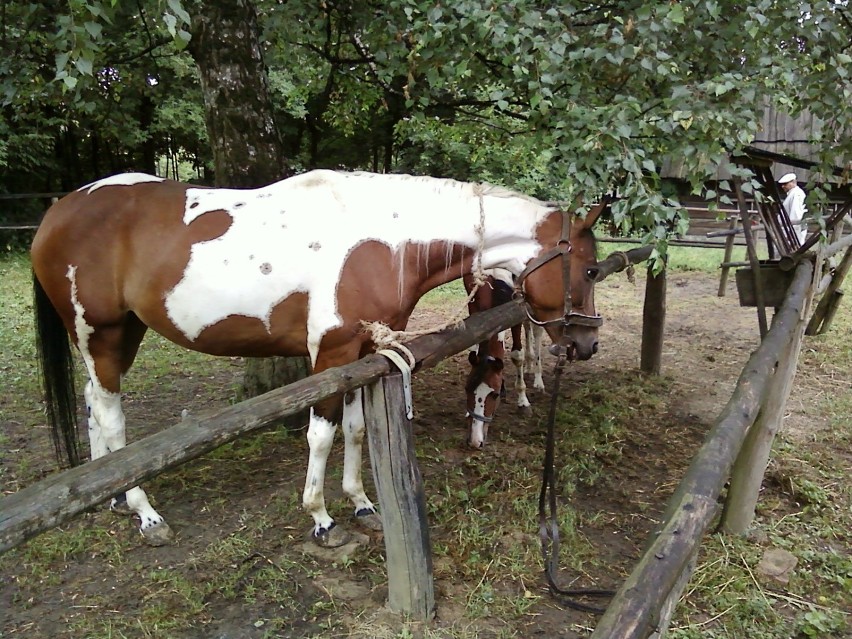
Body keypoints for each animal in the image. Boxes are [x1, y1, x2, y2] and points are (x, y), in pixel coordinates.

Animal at [462, 270, 544, 450]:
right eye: (467, 389)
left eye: (494, 394)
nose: (475, 441)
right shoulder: (474, 308)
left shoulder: (516, 310)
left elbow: (517, 355)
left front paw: (523, 402)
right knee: (528, 326)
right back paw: (529, 367)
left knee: (536, 330)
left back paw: (538, 379)